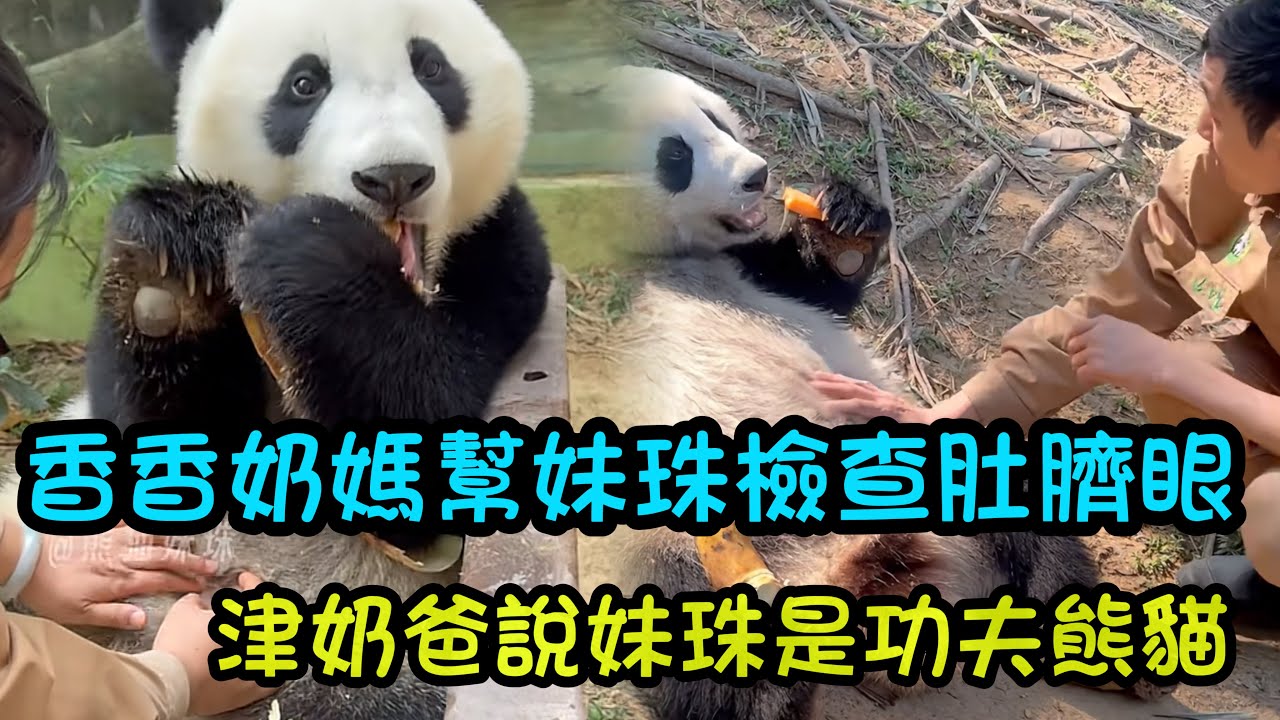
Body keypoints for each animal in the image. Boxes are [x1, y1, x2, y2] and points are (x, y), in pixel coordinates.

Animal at [1, 0, 550, 718]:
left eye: (432, 68)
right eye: (304, 85)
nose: (394, 177)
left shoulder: (503, 252)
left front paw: (314, 252)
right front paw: (172, 263)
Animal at [580, 65, 1105, 720]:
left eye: (715, 118)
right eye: (674, 155)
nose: (757, 176)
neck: (666, 260)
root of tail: (852, 569)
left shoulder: (755, 274)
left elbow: (821, 280)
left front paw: (843, 218)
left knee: (1035, 532)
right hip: (686, 553)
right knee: (699, 644)